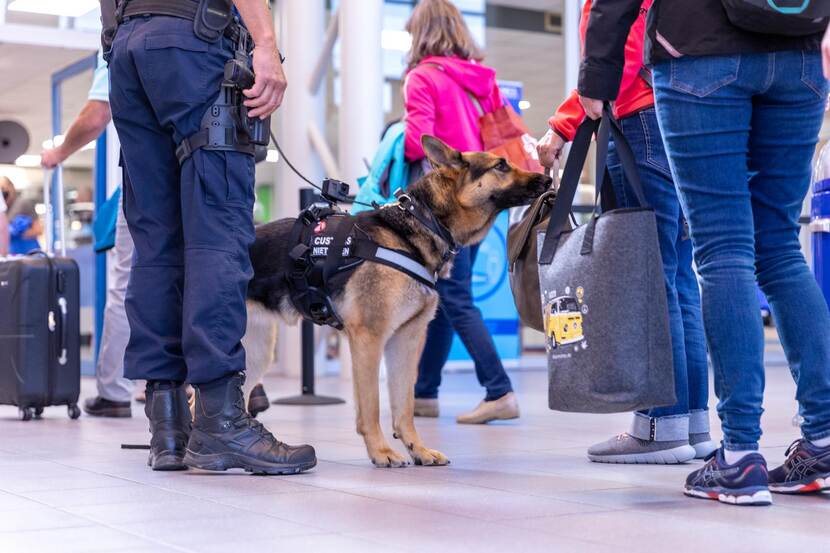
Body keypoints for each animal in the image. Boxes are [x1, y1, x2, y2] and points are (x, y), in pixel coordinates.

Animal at [240, 137, 552, 466]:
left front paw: (418, 449)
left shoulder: (405, 341)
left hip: (257, 354)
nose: (547, 179)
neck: (421, 224)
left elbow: (404, 406)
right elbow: (372, 406)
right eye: (501, 165)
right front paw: (381, 451)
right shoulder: (369, 338)